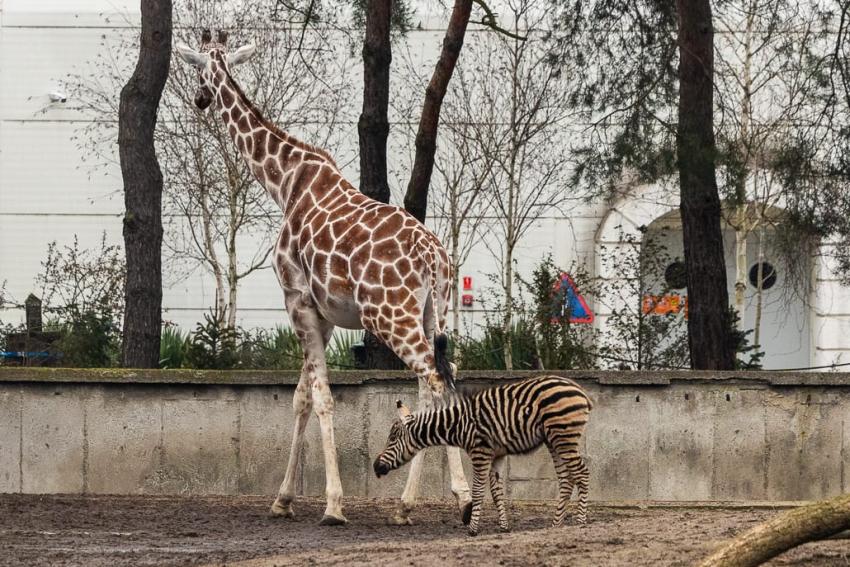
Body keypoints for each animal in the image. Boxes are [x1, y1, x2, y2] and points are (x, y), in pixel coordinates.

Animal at [176, 32, 470, 528]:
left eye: (198, 72)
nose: (199, 100)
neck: (284, 184)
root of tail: (435, 259)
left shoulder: (295, 299)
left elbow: (321, 398)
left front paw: (333, 504)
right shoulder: (323, 313)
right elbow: (299, 397)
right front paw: (283, 499)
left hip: (392, 317)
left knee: (435, 386)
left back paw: (457, 498)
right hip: (436, 313)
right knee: (442, 384)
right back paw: (413, 505)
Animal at [372, 374, 588, 536]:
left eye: (392, 438)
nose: (375, 466)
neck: (458, 425)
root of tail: (579, 390)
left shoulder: (480, 452)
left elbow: (477, 490)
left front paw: (473, 529)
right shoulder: (497, 455)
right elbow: (496, 491)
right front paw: (504, 527)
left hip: (563, 435)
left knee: (582, 472)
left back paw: (581, 522)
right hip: (554, 439)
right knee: (566, 478)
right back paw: (555, 525)